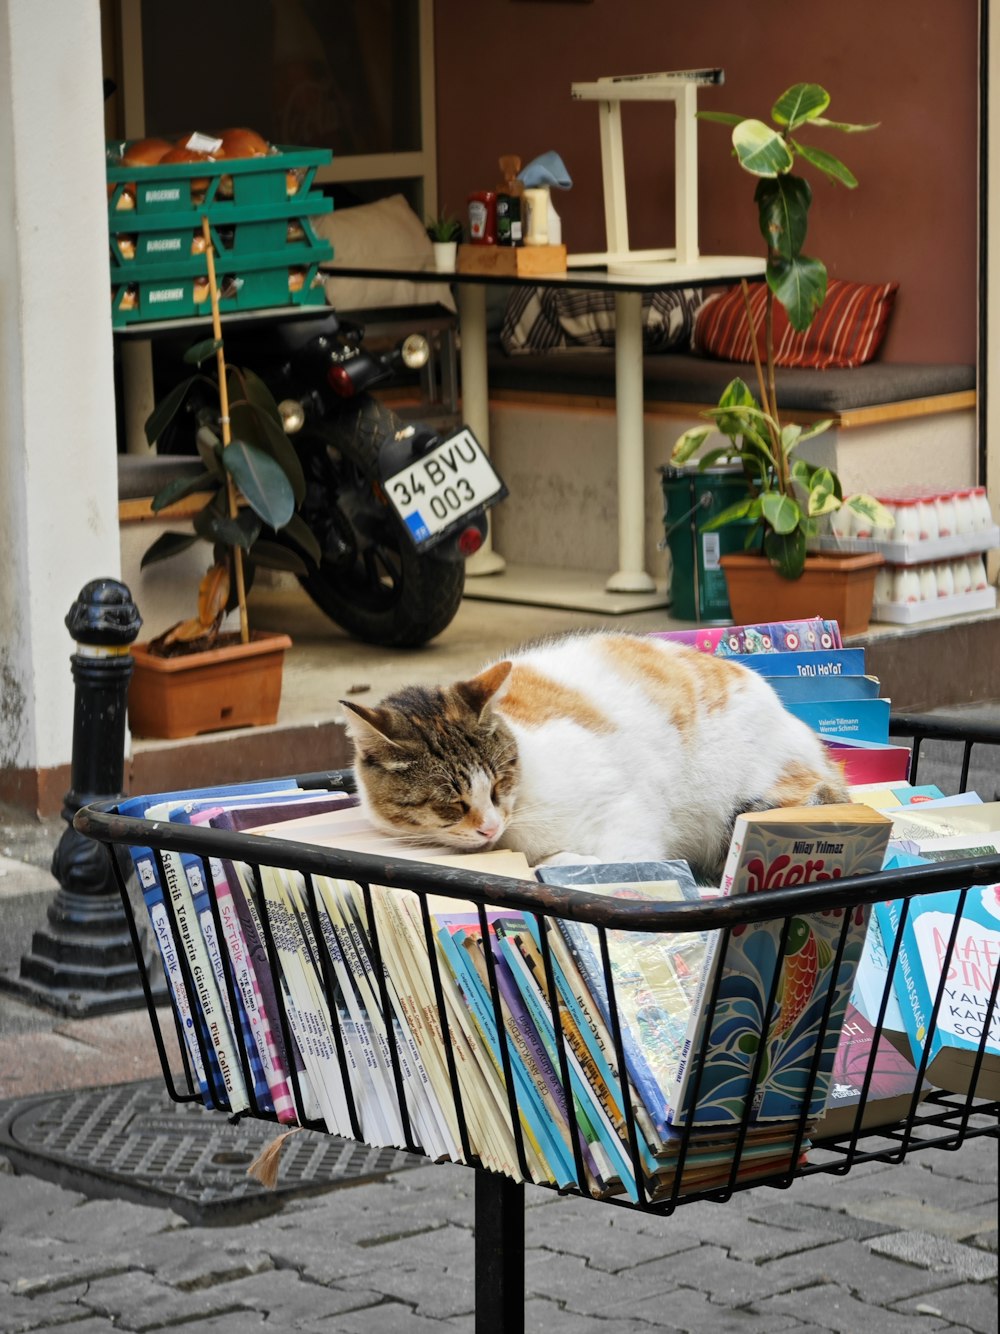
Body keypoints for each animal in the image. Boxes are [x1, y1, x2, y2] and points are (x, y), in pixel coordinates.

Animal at [341, 632, 848, 880]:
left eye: (502, 781)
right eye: (451, 803)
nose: (489, 826)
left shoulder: (624, 815)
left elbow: (589, 859)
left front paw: (554, 862)